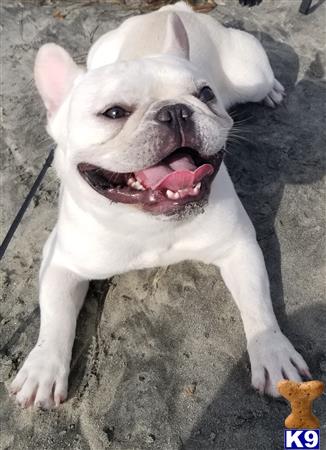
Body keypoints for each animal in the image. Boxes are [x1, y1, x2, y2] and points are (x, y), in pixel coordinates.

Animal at [9, 0, 310, 408]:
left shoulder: (239, 247)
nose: (176, 110)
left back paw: (273, 91)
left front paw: (273, 350)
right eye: (113, 113)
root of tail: (171, 8)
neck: (149, 221)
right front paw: (42, 367)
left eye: (205, 94)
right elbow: (55, 317)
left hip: (251, 72)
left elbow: (258, 305)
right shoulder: (61, 263)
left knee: (263, 81)